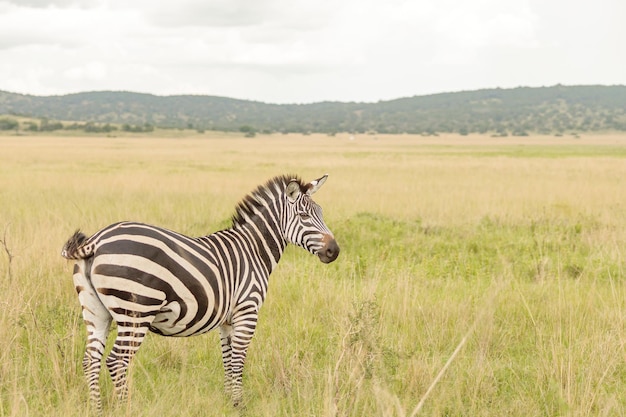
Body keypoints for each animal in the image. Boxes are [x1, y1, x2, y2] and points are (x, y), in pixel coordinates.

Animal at [61, 172, 338, 410]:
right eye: (303, 216)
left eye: (321, 213)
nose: (334, 251)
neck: (253, 249)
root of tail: (96, 241)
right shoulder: (248, 310)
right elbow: (238, 359)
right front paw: (240, 405)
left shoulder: (227, 320)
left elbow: (228, 358)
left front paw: (229, 402)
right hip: (136, 310)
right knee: (117, 360)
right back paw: (125, 408)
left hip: (95, 311)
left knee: (91, 360)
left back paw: (96, 409)